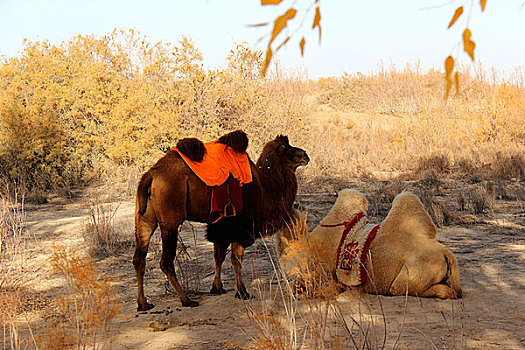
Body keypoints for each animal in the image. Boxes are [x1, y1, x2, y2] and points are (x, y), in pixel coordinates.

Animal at [133, 131, 310, 308]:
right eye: (286, 148)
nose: (305, 155)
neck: (266, 188)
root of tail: (150, 175)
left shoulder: (220, 225)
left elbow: (219, 256)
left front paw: (217, 288)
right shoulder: (241, 226)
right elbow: (236, 259)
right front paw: (242, 292)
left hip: (145, 218)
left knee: (139, 258)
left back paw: (143, 304)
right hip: (171, 220)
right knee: (166, 261)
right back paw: (186, 300)